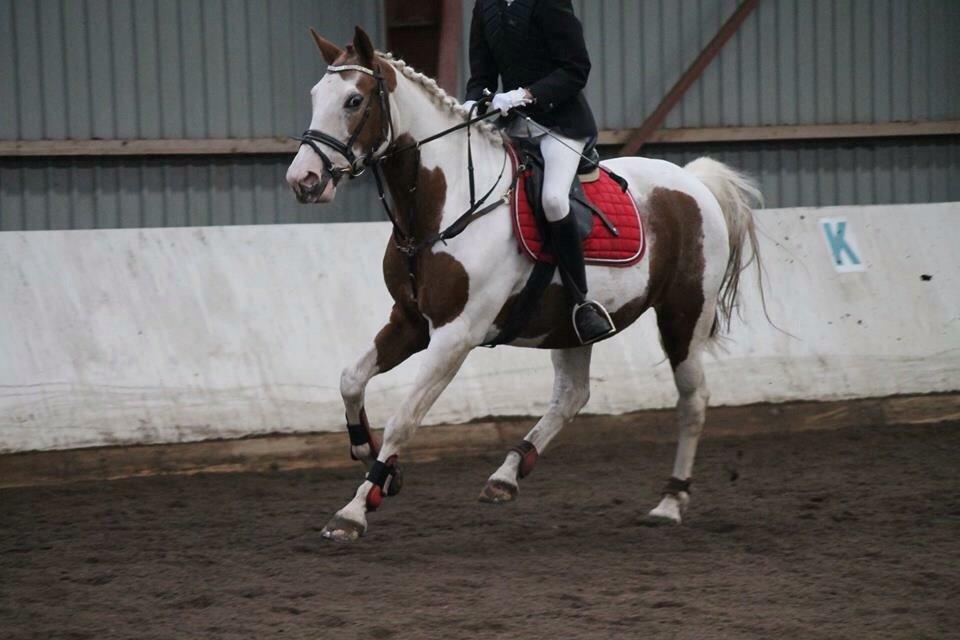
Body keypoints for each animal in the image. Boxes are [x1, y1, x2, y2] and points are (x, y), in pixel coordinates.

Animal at [284, 27, 764, 544]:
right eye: (314, 96)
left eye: (354, 100)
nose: (303, 180)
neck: (445, 205)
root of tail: (692, 182)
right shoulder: (410, 321)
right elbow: (351, 380)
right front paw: (372, 461)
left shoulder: (455, 336)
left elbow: (404, 419)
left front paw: (353, 511)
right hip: (569, 326)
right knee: (573, 395)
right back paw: (506, 475)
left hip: (683, 313)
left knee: (693, 399)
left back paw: (670, 503)